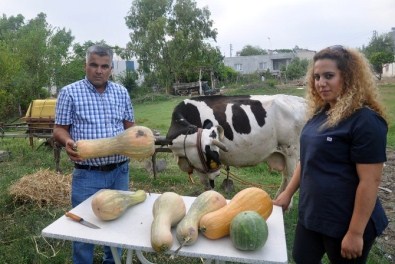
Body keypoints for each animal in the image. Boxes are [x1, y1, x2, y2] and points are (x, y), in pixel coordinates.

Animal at [166, 94, 308, 197]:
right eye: (209, 154)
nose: (217, 173)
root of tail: (302, 101)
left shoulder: (199, 166)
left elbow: (207, 186)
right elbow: (207, 187)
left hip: (292, 151)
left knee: (290, 177)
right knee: (285, 177)